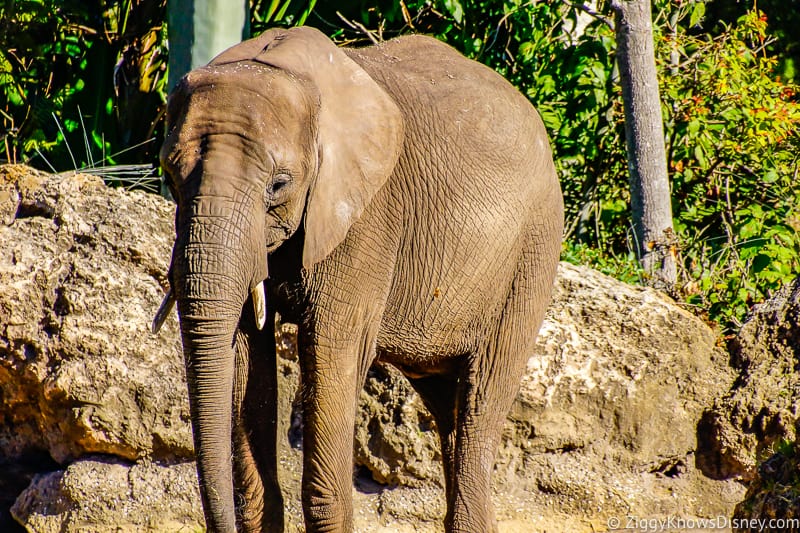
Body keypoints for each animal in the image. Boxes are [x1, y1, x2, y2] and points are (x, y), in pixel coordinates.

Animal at [152, 23, 564, 532]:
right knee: (448, 408)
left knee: (479, 405)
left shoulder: (368, 217)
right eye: (170, 176)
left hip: (532, 254)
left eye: (278, 185)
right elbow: (247, 352)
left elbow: (331, 350)